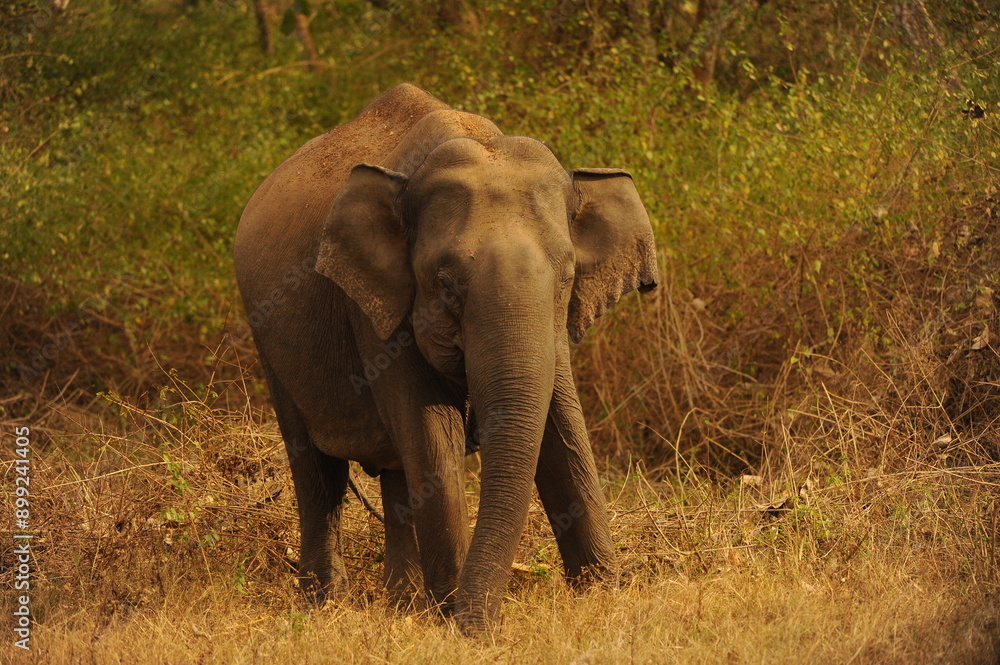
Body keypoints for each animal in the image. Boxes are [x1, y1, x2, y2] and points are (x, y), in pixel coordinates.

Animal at [233, 83, 658, 633]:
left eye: (567, 278)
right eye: (446, 283)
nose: (483, 625)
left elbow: (562, 430)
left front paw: (602, 596)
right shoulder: (376, 309)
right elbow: (432, 436)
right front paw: (452, 619)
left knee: (395, 472)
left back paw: (402, 606)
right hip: (268, 338)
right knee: (319, 474)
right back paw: (324, 605)